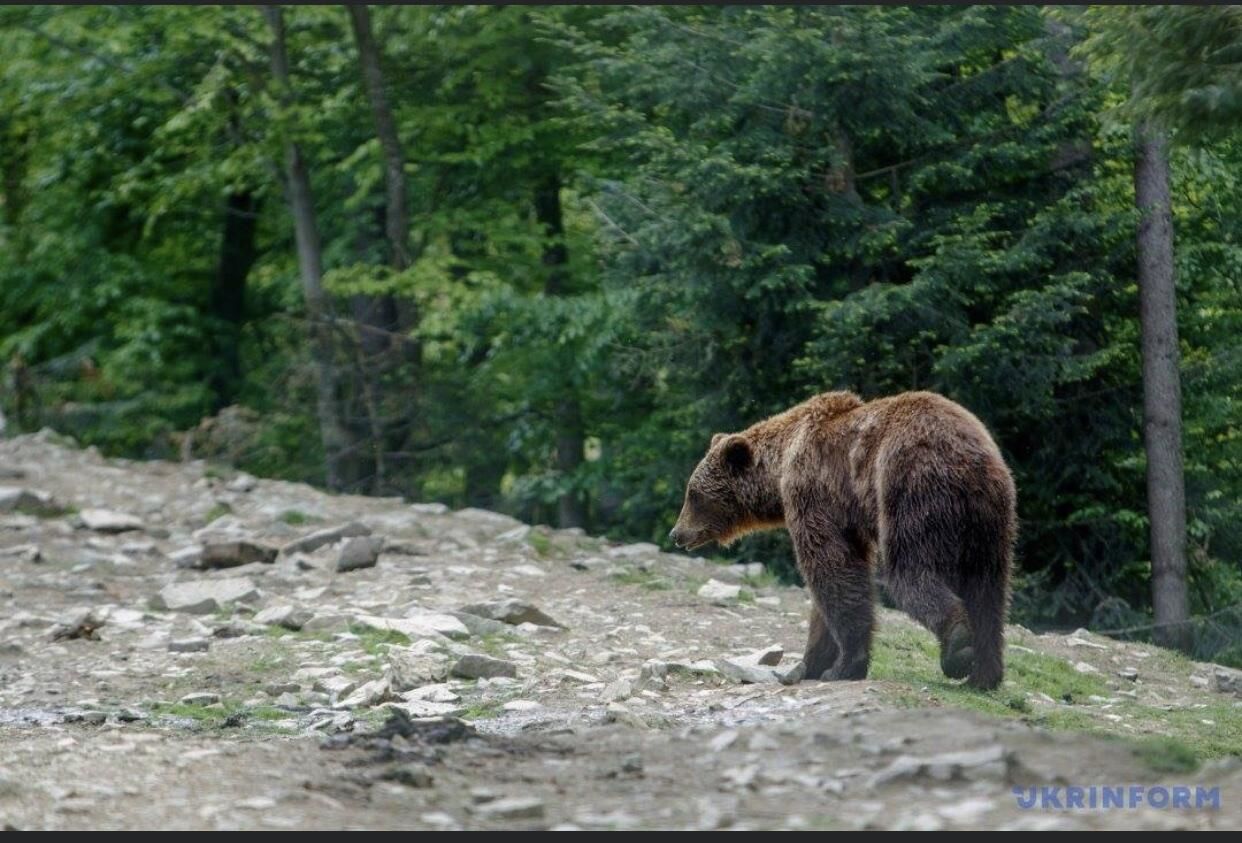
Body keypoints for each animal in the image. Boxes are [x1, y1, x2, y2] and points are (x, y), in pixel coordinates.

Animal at [675, 392, 1013, 690]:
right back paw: (984, 675)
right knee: (988, 592)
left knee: (909, 571)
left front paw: (843, 666)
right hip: (990, 520)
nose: (676, 534)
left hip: (912, 489)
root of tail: (969, 457)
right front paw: (809, 663)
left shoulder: (817, 496)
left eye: (694, 495)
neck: (781, 467)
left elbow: (834, 572)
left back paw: (957, 646)